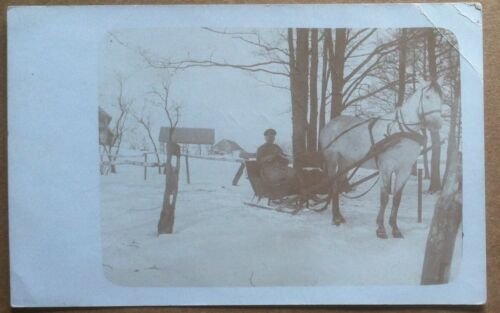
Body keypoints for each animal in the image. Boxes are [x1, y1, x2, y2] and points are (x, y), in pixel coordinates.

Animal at [318, 81, 444, 238]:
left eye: (441, 98)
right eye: (427, 96)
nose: (437, 124)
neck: (401, 133)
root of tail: (329, 125)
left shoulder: (405, 170)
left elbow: (397, 198)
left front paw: (395, 228)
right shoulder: (386, 168)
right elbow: (384, 198)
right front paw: (381, 229)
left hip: (346, 162)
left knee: (339, 184)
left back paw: (339, 216)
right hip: (332, 159)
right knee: (334, 186)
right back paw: (335, 218)